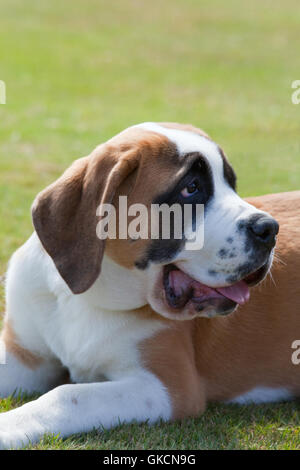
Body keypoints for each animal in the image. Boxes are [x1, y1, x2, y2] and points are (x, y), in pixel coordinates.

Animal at [0, 123, 300, 450]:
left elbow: (69, 395)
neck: (89, 298)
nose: (269, 229)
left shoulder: (167, 387)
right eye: (191, 188)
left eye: (232, 185)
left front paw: (8, 426)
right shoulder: (26, 357)